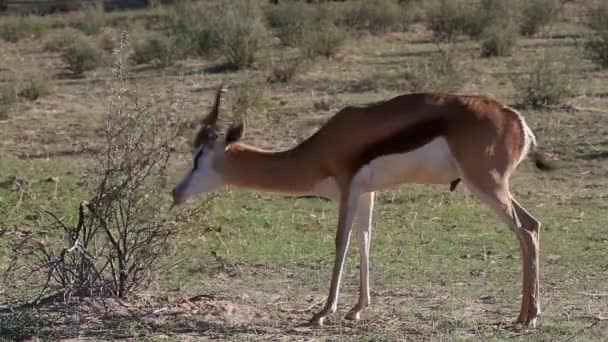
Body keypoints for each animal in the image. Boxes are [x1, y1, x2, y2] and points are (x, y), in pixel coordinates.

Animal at [171, 84, 552, 328]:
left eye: (198, 156)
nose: (176, 192)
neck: (320, 148)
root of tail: (515, 119)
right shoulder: (368, 193)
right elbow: (365, 240)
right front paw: (357, 310)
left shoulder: (347, 188)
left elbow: (341, 242)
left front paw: (322, 313)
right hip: (490, 186)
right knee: (529, 228)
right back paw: (524, 314)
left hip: (486, 185)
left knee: (527, 228)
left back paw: (529, 317)